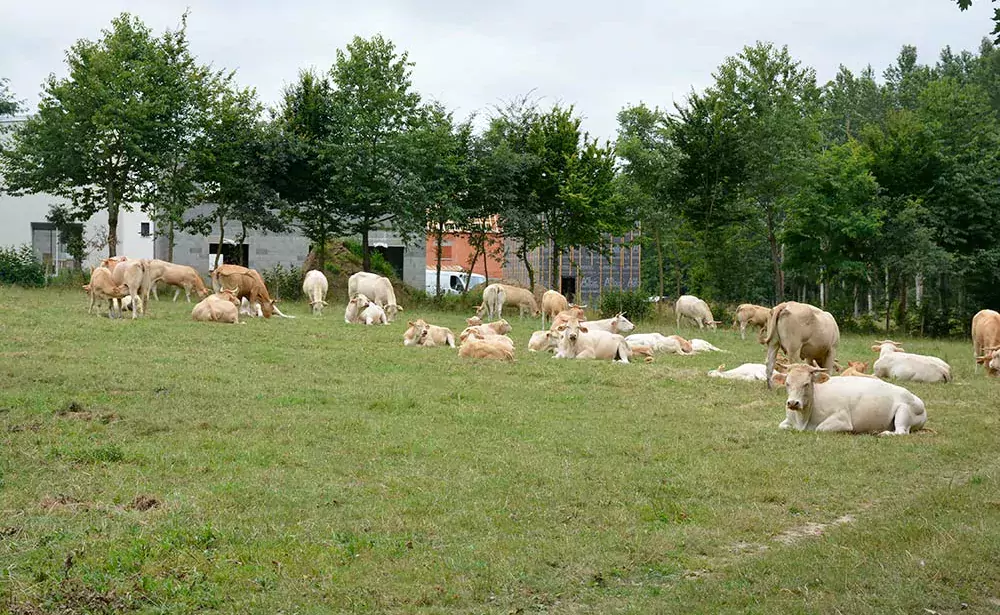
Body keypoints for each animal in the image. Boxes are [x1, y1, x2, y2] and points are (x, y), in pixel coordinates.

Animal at [772, 364, 928, 436]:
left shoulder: (842, 419)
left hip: (903, 410)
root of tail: (919, 401)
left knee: (901, 431)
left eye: (806, 384)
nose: (793, 403)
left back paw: (883, 433)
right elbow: (781, 425)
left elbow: (819, 428)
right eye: (787, 383)